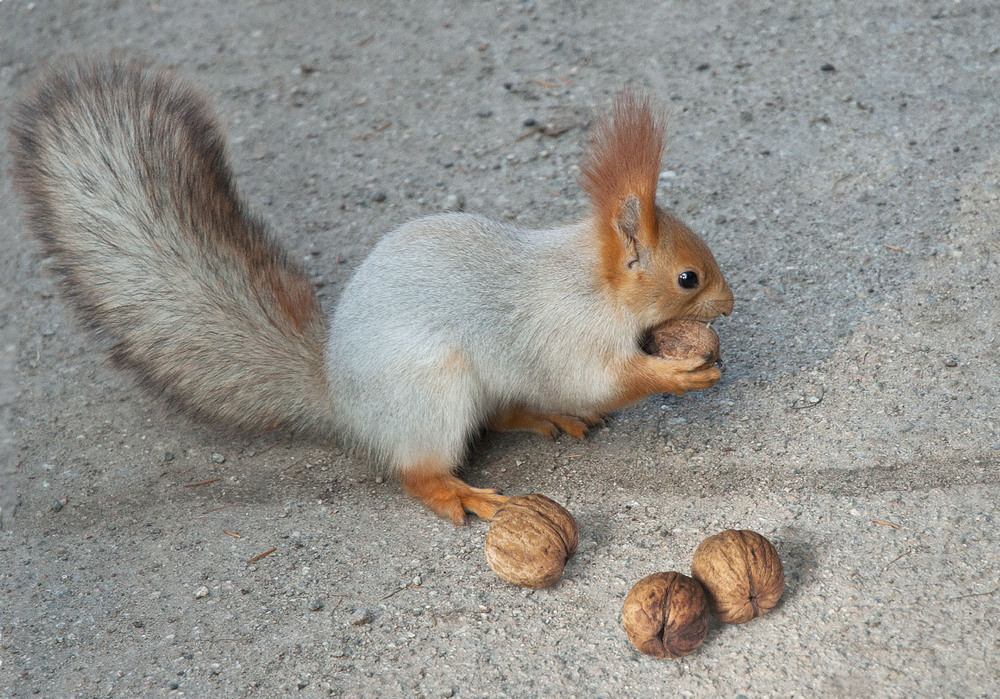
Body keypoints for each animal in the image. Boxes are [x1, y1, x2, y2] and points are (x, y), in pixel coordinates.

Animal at [9, 56, 736, 524]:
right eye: (688, 278)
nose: (729, 305)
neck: (591, 280)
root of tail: (344, 401)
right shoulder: (566, 332)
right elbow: (602, 379)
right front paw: (678, 374)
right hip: (433, 392)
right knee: (415, 469)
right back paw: (457, 493)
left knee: (495, 415)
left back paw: (539, 416)